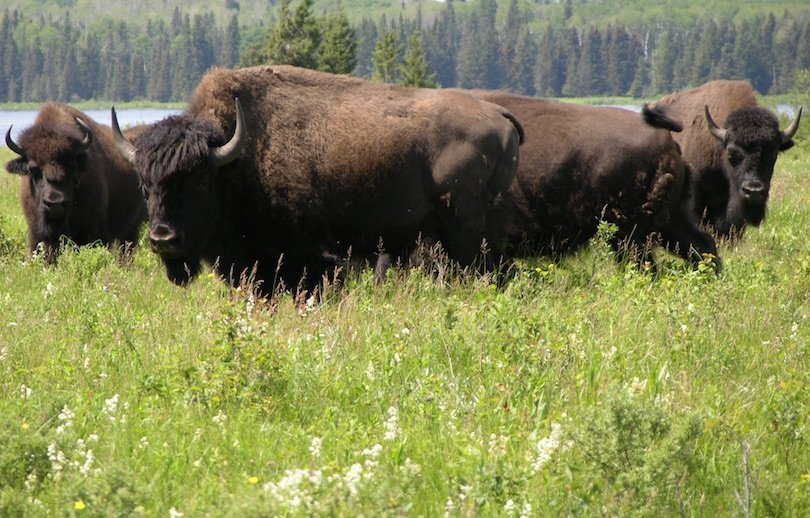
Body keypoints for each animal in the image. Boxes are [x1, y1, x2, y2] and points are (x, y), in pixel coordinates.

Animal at [110, 65, 520, 294]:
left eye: (198, 183)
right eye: (144, 185)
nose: (164, 240)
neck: (236, 158)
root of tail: (499, 114)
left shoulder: (310, 260)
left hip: (466, 232)